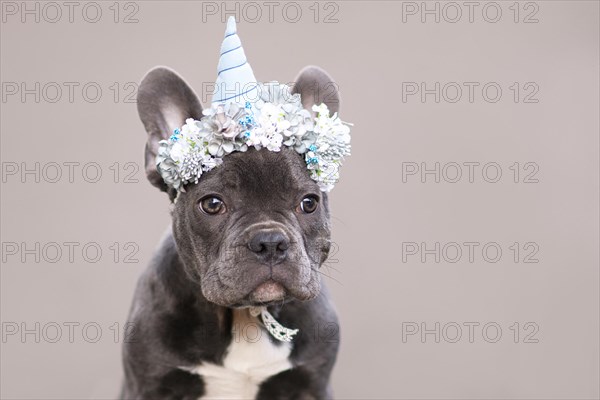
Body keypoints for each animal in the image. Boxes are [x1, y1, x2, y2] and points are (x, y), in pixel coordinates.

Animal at [120, 61, 342, 396]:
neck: (245, 315)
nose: (270, 242)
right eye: (212, 204)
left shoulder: (311, 384)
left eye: (308, 203)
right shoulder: (150, 384)